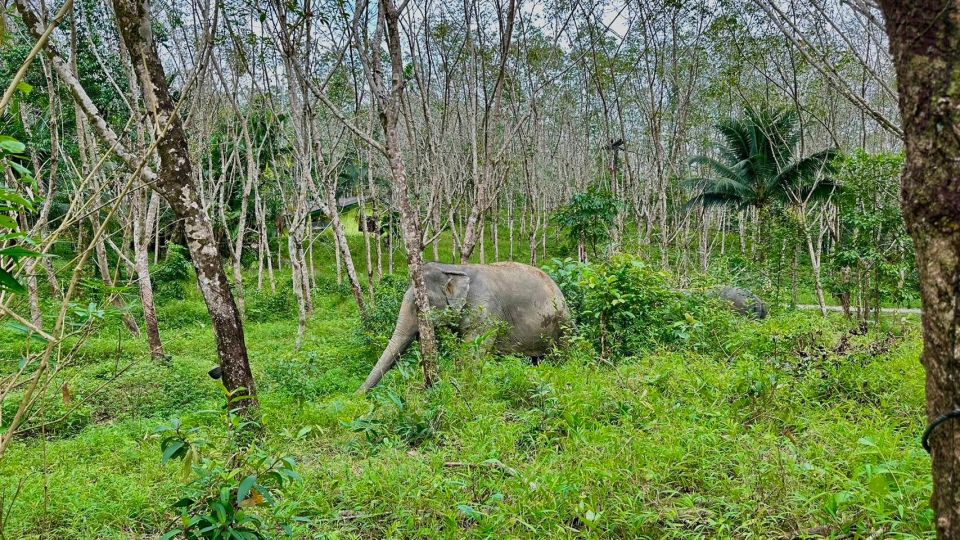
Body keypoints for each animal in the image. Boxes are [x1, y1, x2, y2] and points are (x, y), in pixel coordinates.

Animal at [360, 262, 568, 392]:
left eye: (420, 306)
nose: (358, 398)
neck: (454, 268)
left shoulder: (484, 310)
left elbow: (471, 352)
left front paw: (458, 385)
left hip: (562, 323)